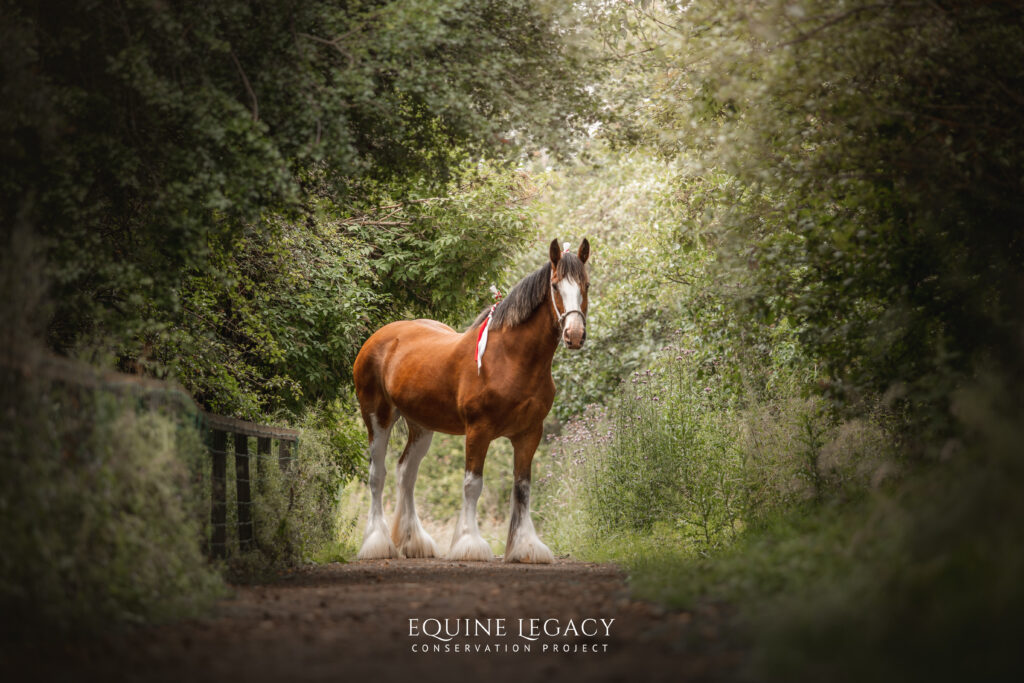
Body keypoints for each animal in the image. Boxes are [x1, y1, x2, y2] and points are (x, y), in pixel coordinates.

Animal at [352, 238, 590, 563]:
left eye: (586, 285)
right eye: (555, 286)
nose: (574, 334)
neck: (511, 359)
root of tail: (378, 338)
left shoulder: (530, 433)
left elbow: (522, 488)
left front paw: (526, 546)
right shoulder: (479, 430)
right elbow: (472, 484)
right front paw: (470, 545)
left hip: (422, 426)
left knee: (406, 473)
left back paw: (414, 543)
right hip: (377, 416)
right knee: (378, 474)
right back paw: (377, 543)